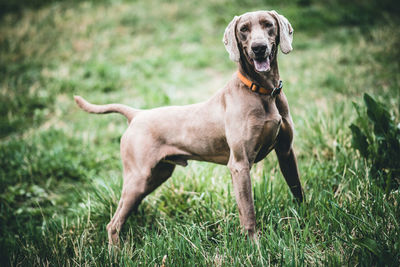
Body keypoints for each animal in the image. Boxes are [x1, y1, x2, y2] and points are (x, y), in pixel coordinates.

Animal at [74, 10, 304, 246]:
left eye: (268, 24)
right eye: (244, 29)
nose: (259, 47)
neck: (263, 92)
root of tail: (136, 114)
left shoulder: (286, 151)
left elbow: (297, 188)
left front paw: (303, 218)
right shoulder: (240, 165)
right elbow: (248, 210)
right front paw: (254, 246)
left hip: (156, 176)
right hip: (138, 178)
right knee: (113, 224)